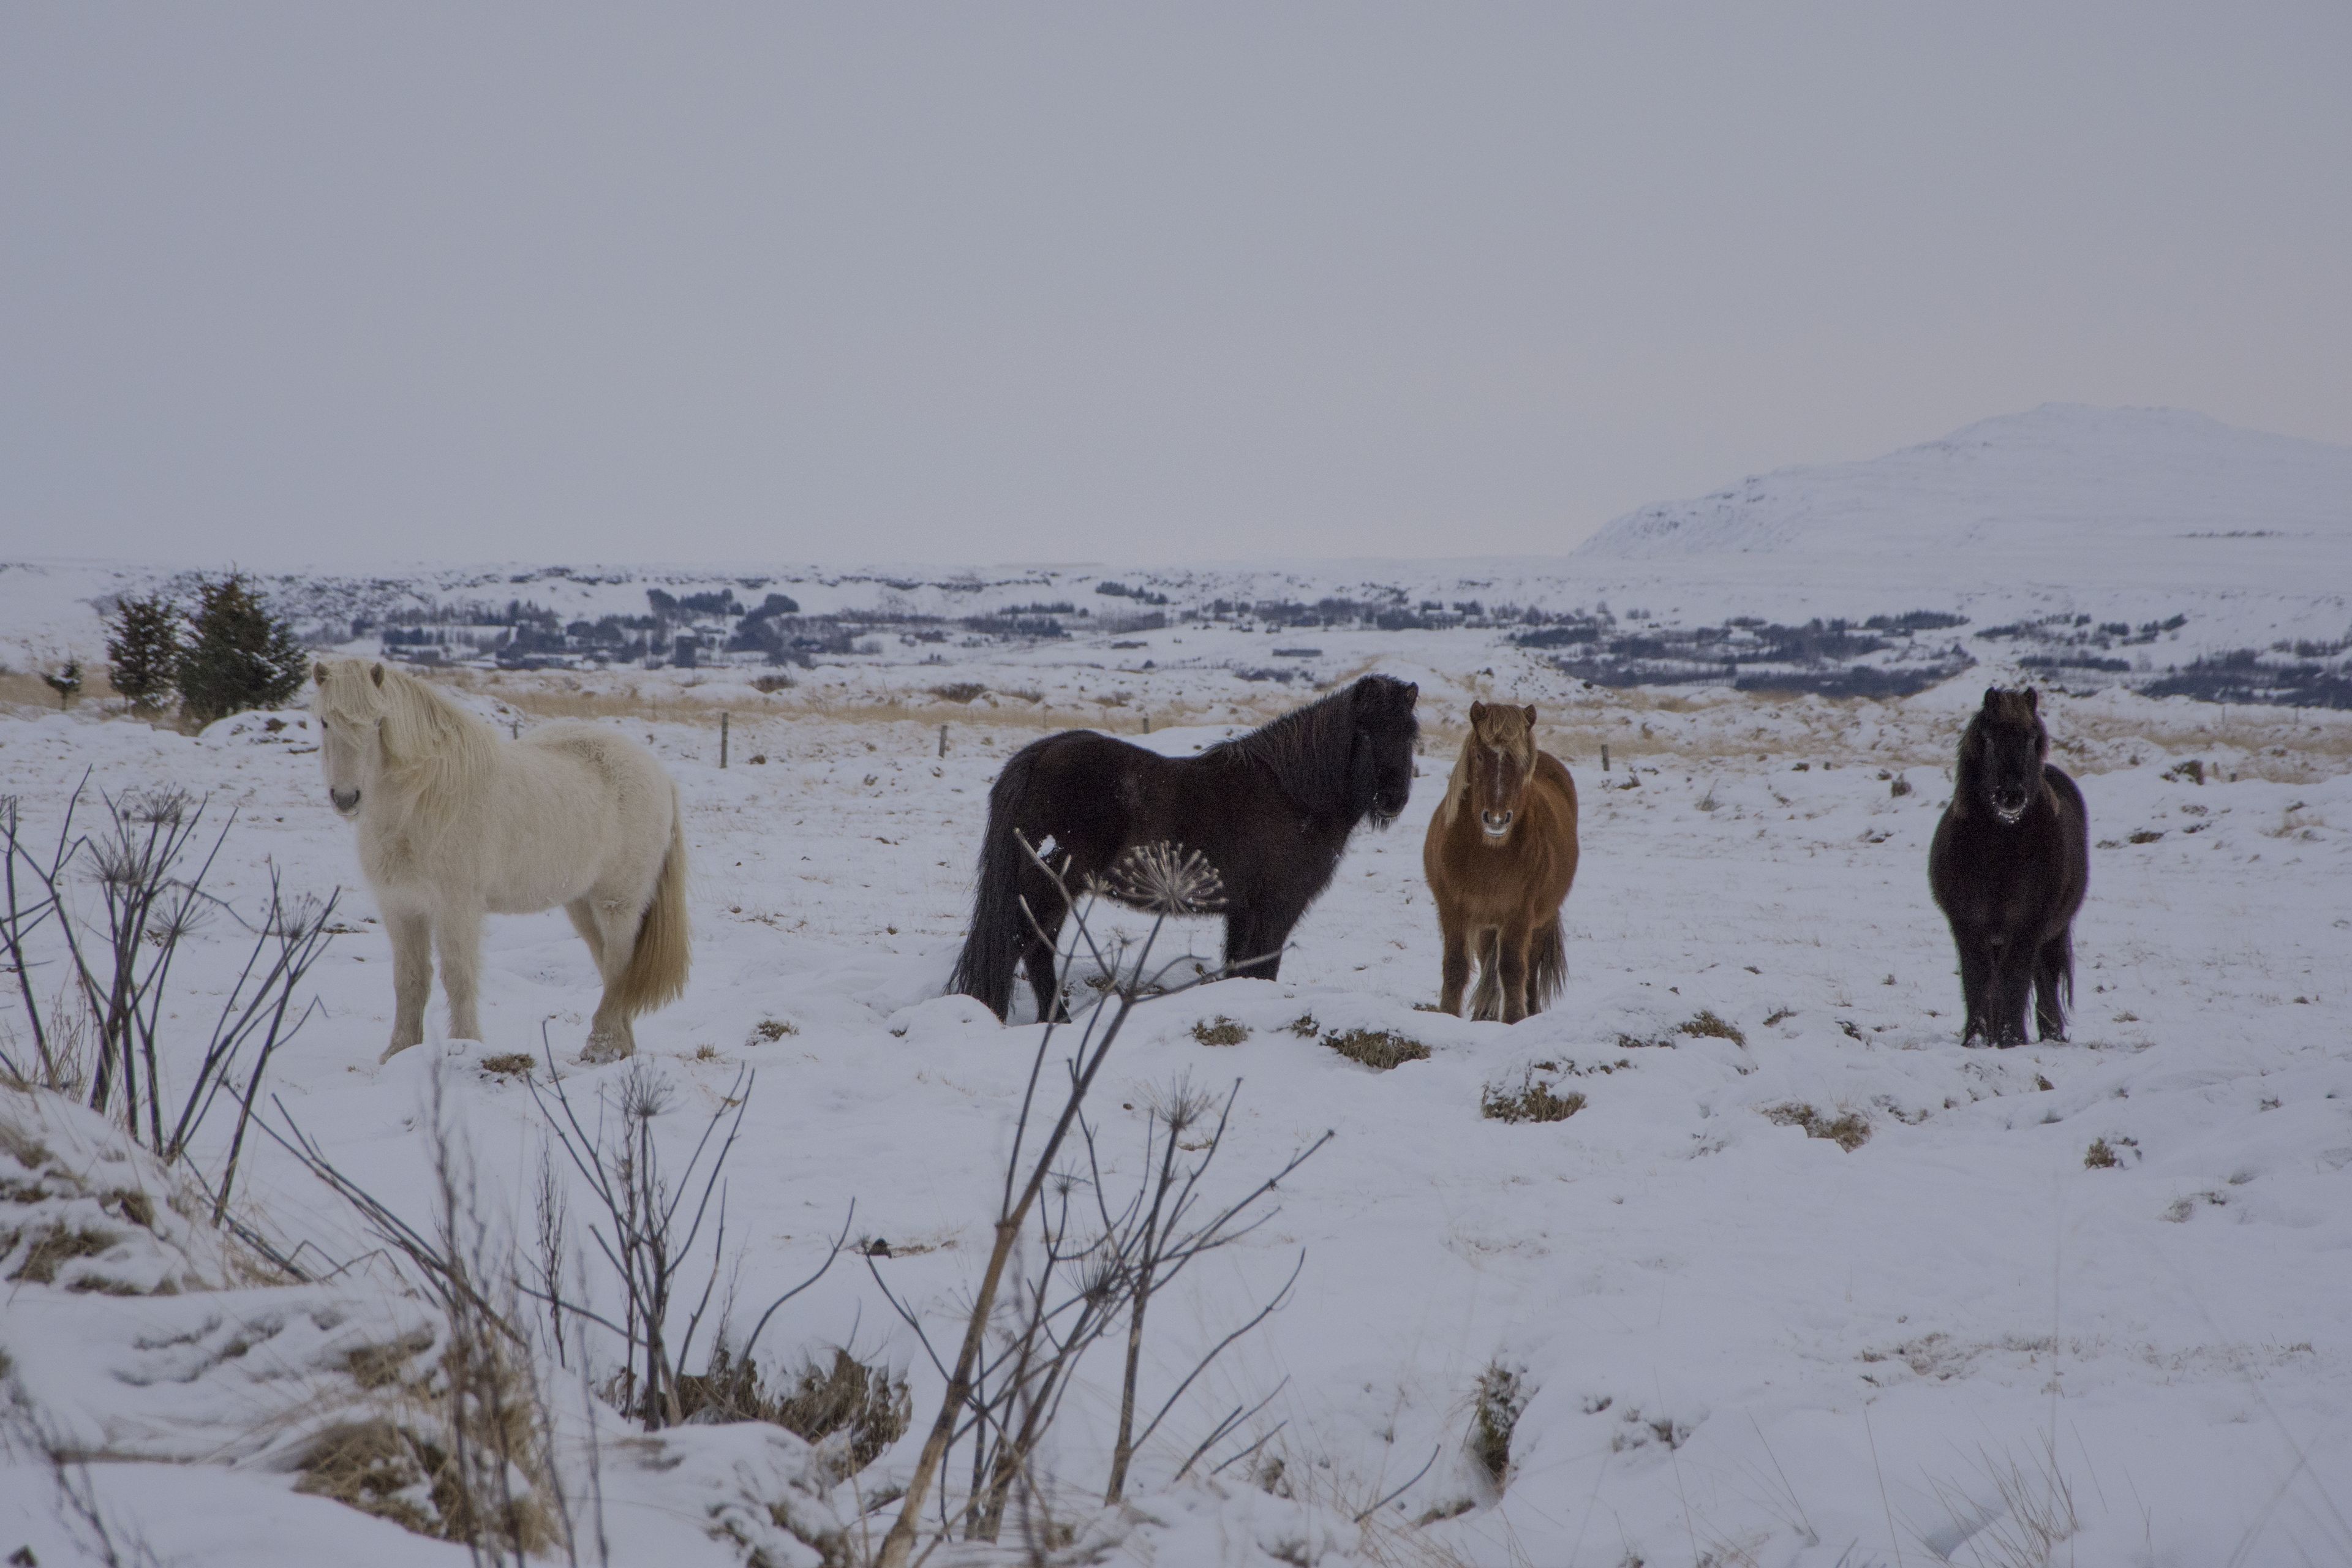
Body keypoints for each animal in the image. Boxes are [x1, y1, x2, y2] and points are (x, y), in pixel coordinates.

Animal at [310, 660, 690, 1063]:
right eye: (325, 722)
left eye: (378, 722)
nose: (346, 798)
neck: (419, 804)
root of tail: (660, 775)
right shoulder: (400, 907)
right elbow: (409, 980)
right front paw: (399, 1052)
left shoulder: (456, 906)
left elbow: (458, 976)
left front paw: (465, 1045)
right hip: (582, 903)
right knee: (609, 964)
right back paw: (621, 1048)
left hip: (617, 901)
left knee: (619, 965)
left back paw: (599, 1046)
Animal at [951, 673, 1420, 1021]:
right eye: (1365, 732)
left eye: (1409, 734)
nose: (1393, 799)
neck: (1295, 795)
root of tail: (1040, 755)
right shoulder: (1275, 911)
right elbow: (1261, 969)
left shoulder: (1242, 912)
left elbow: (1238, 968)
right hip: (1050, 886)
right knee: (1029, 949)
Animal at [1421, 701, 1580, 1022]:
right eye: (1480, 755)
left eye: (1522, 761)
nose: (1496, 819)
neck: (1488, 853)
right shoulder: (1453, 909)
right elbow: (1456, 966)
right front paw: (1448, 1015)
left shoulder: (1519, 914)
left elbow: (1513, 968)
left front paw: (1514, 1019)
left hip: (1539, 920)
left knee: (1530, 965)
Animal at [1927, 686, 2089, 1047]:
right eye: (1988, 738)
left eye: (2032, 738)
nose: (2011, 796)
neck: (2000, 852)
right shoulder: (1969, 924)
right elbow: (1977, 980)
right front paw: (1976, 1040)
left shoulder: (2027, 924)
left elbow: (2015, 980)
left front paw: (2011, 1039)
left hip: (2049, 934)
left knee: (2043, 978)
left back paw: (2051, 1034)